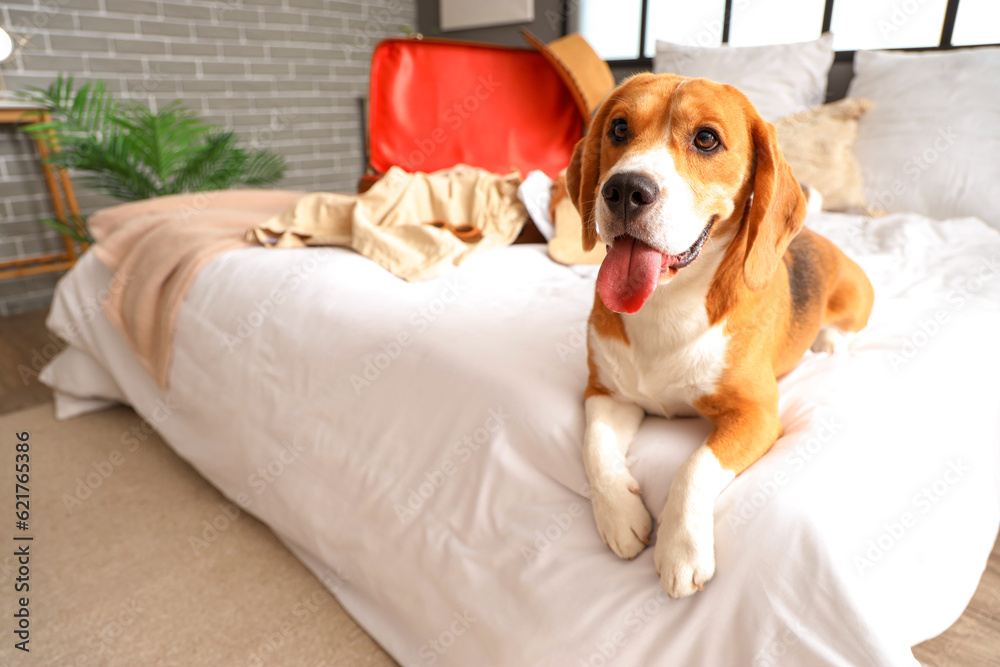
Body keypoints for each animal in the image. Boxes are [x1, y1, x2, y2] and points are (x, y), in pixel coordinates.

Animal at [568, 74, 872, 600]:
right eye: (619, 128)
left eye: (706, 139)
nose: (624, 189)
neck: (666, 304)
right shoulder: (605, 394)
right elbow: (596, 448)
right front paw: (620, 515)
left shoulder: (757, 415)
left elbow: (694, 466)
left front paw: (681, 548)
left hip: (856, 293)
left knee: (844, 328)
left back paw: (829, 343)